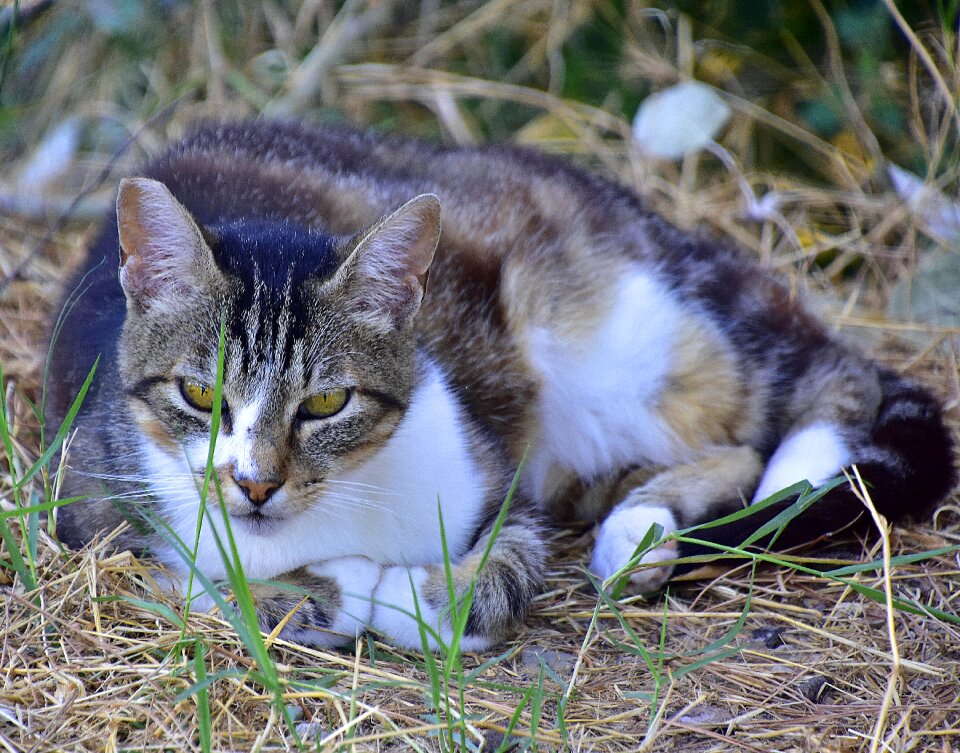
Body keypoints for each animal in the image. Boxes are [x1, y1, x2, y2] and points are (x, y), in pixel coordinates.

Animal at [47, 120, 960, 648]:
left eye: (327, 403)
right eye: (200, 397)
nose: (255, 483)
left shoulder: (493, 477)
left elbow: (488, 579)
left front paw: (394, 589)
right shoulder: (87, 512)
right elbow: (202, 584)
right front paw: (323, 588)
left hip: (620, 337)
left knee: (816, 392)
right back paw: (642, 526)